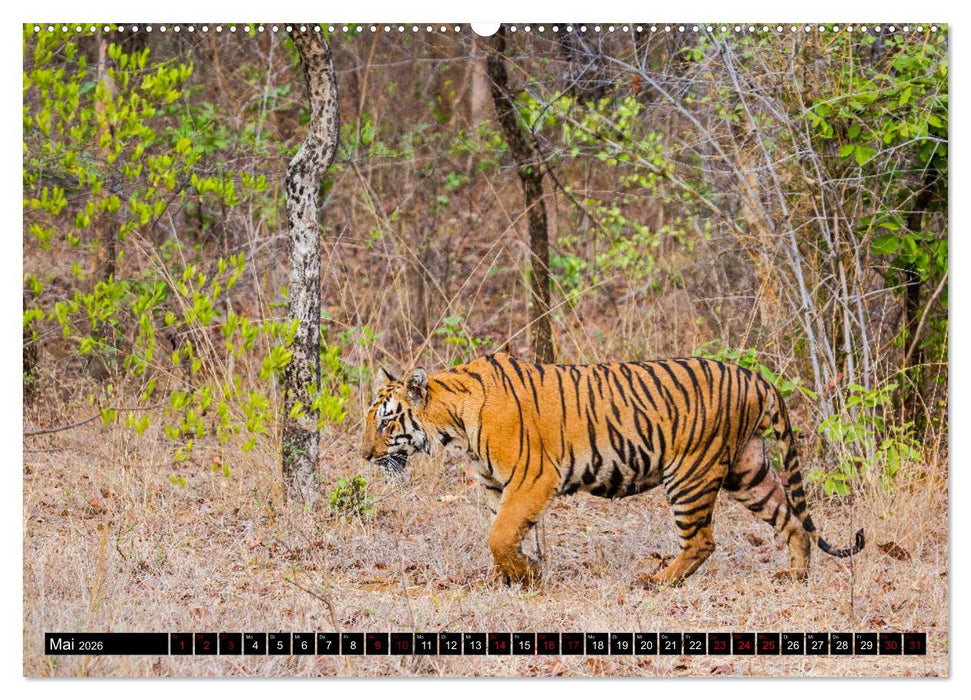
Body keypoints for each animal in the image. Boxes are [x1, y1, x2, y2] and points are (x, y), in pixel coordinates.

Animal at [361, 352, 864, 587]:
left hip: (690, 474)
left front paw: (527, 578)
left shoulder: (532, 477)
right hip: (748, 471)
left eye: (385, 421)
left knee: (702, 540)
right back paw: (795, 574)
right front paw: (514, 577)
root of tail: (756, 377)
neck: (455, 423)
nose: (364, 456)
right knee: (791, 519)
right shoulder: (497, 486)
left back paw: (658, 582)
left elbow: (500, 536)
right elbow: (508, 534)